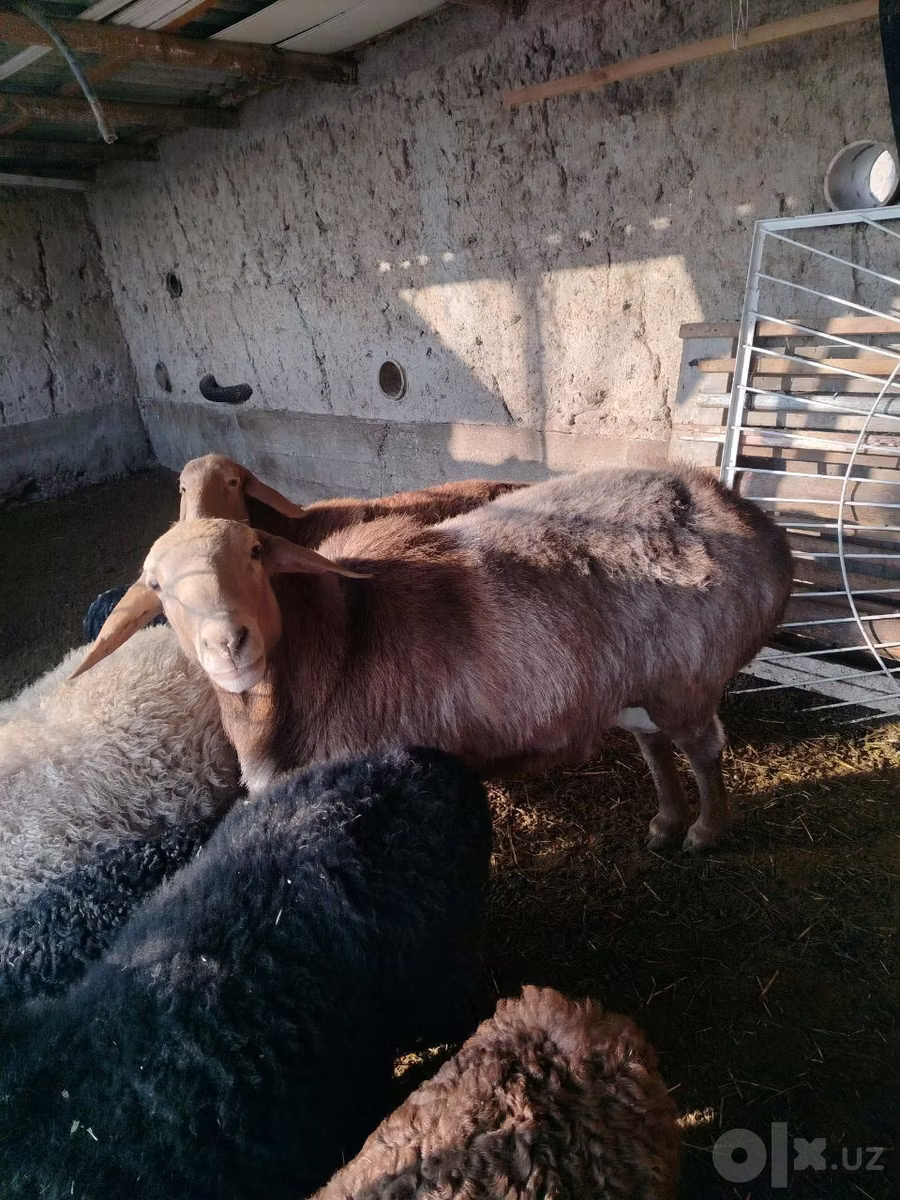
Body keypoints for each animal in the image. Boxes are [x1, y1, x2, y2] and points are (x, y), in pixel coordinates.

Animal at [73, 466, 793, 851]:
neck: (328, 637)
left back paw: (705, 830)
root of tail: (741, 510)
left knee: (703, 750)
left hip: (687, 679)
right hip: (639, 684)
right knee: (654, 746)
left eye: (254, 552)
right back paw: (665, 823)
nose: (230, 643)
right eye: (157, 587)